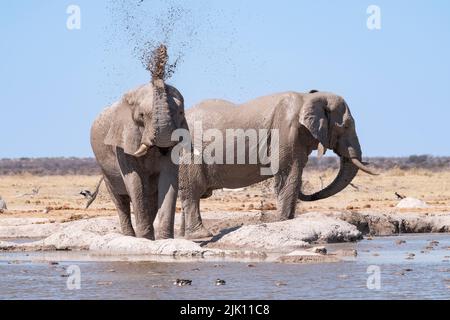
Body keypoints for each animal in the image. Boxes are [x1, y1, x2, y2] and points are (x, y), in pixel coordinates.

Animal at [90, 45, 189, 240]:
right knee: (120, 200)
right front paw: (145, 239)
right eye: (141, 116)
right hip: (105, 169)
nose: (161, 52)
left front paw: (164, 239)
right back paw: (129, 236)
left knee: (151, 197)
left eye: (181, 113)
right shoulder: (123, 140)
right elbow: (134, 181)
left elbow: (169, 178)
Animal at [179, 89, 376, 239]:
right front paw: (283, 221)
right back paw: (200, 235)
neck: (307, 97)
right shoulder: (286, 132)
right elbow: (289, 174)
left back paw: (181, 236)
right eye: (346, 126)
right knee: (193, 191)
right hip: (188, 154)